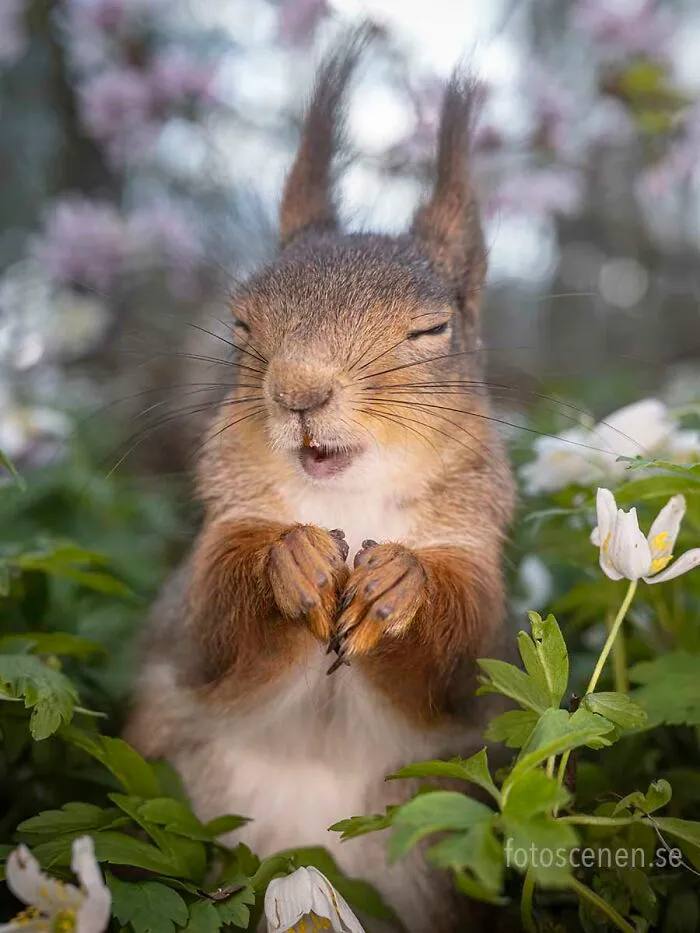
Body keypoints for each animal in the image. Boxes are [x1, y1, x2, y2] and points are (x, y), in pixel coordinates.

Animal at [124, 30, 516, 933]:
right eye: (240, 321)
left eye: (432, 329)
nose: (298, 392)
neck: (347, 499)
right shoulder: (194, 587)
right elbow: (213, 626)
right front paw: (292, 558)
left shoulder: (479, 582)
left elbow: (458, 654)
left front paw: (397, 584)